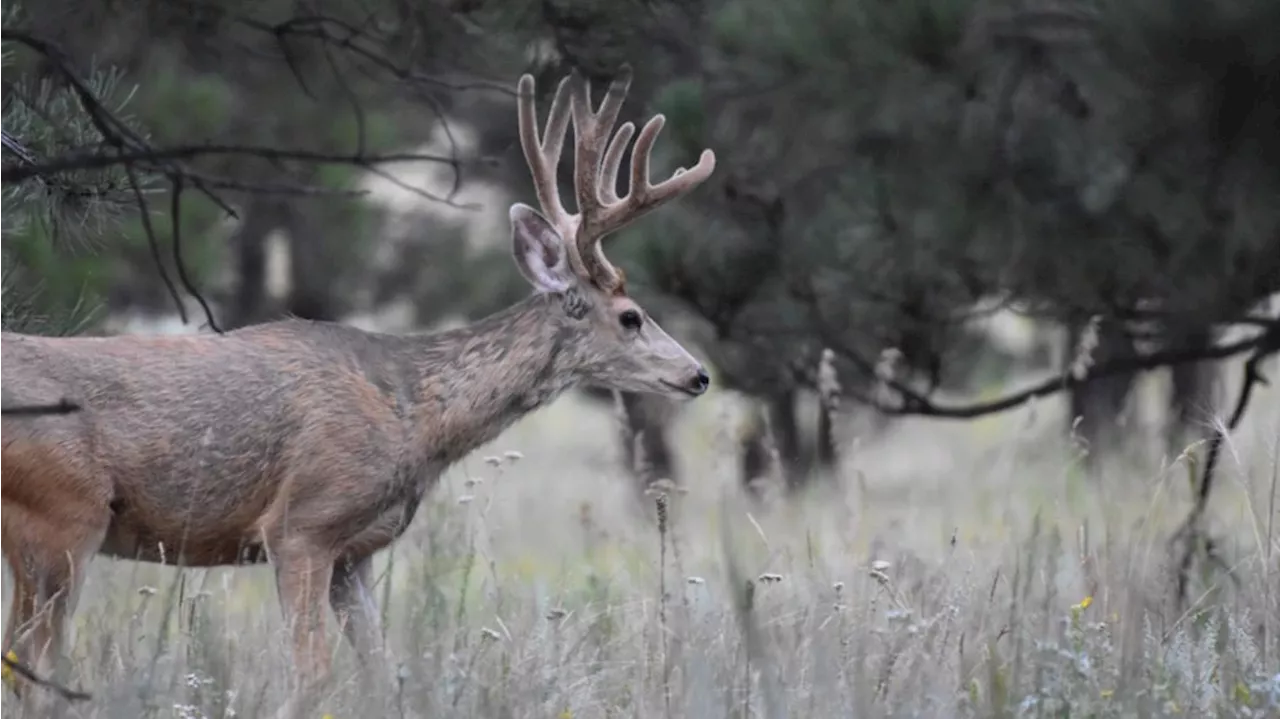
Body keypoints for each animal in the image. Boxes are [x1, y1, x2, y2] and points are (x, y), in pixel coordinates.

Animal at [0, 64, 716, 711]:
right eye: (631, 316)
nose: (699, 374)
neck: (414, 415)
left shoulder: (357, 554)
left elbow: (381, 672)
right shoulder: (301, 524)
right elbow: (312, 675)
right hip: (64, 515)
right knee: (32, 666)